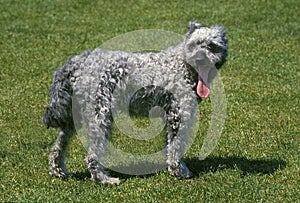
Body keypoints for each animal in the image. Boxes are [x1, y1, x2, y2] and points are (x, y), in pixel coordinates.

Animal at [43, 20, 229, 184]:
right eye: (194, 45)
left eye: (212, 46)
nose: (200, 59)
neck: (183, 65)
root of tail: (75, 63)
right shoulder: (179, 115)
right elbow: (176, 147)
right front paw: (180, 171)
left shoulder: (170, 115)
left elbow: (170, 146)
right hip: (100, 116)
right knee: (92, 155)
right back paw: (104, 179)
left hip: (73, 118)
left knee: (58, 147)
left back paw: (58, 171)